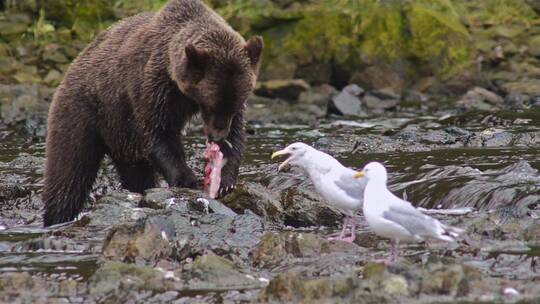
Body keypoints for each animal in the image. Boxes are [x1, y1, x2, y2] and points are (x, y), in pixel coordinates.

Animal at [41, 0, 262, 226]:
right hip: (84, 111)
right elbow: (158, 132)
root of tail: (75, 63)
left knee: (137, 173)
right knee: (69, 172)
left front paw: (226, 178)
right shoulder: (152, 87)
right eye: (209, 105)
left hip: (122, 136)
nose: (217, 137)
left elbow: (237, 134)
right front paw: (186, 178)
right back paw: (57, 216)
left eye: (235, 105)